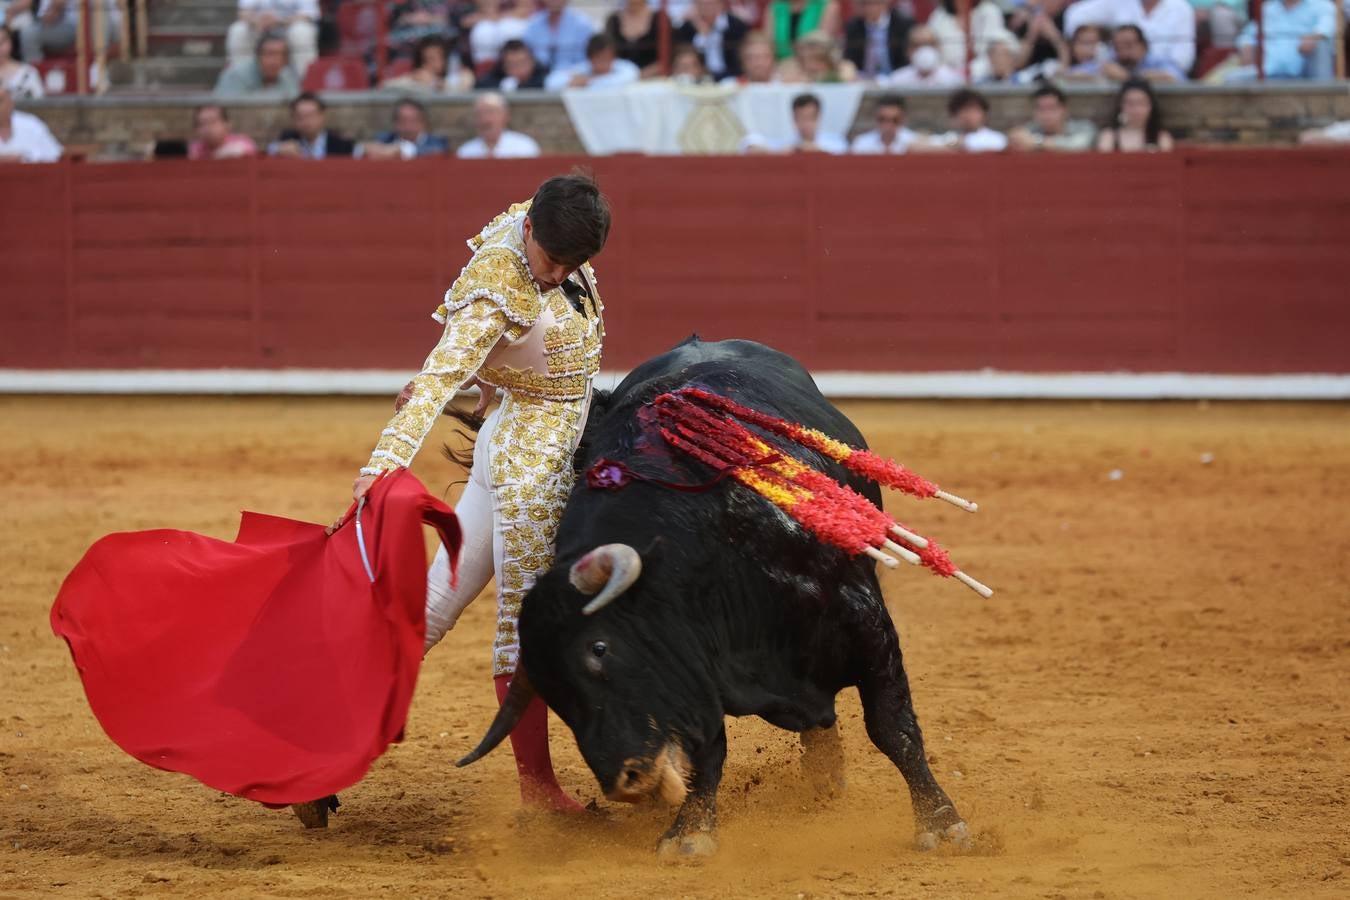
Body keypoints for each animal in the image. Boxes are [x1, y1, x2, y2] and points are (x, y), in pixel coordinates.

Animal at [459, 334, 966, 858]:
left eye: (599, 648)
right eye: (551, 691)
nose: (626, 782)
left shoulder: (864, 617)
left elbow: (892, 726)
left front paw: (940, 822)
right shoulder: (697, 664)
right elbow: (707, 746)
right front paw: (691, 831)